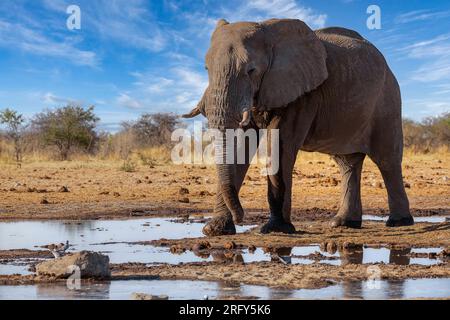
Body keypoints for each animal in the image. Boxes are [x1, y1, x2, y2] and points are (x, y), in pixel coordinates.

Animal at [184, 18, 414, 236]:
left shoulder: (303, 94)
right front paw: (214, 230)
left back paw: (399, 222)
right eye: (206, 69)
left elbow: (279, 145)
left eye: (251, 70)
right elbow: (242, 144)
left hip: (387, 100)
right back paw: (344, 223)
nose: (241, 216)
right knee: (348, 163)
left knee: (387, 160)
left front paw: (275, 229)